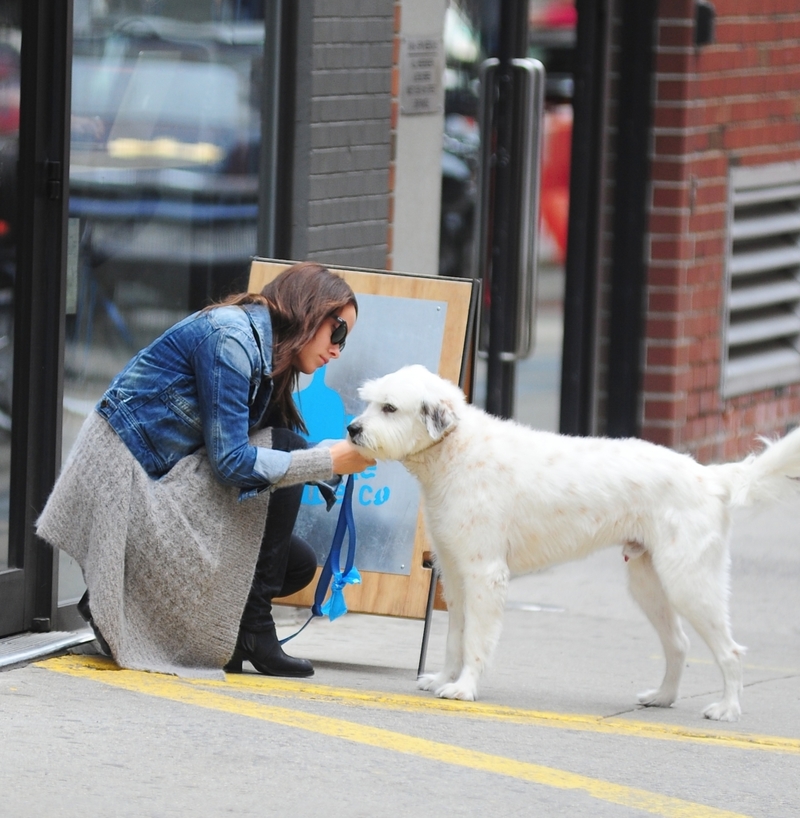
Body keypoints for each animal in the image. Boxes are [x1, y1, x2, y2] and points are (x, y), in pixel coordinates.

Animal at [346, 364, 800, 720]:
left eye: (389, 408)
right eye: (370, 402)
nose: (352, 429)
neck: (456, 450)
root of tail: (710, 477)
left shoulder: (484, 575)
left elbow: (475, 640)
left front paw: (464, 688)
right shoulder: (455, 577)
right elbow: (453, 638)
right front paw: (443, 679)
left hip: (690, 584)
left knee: (730, 652)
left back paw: (727, 709)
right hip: (649, 584)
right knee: (678, 644)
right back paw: (663, 697)